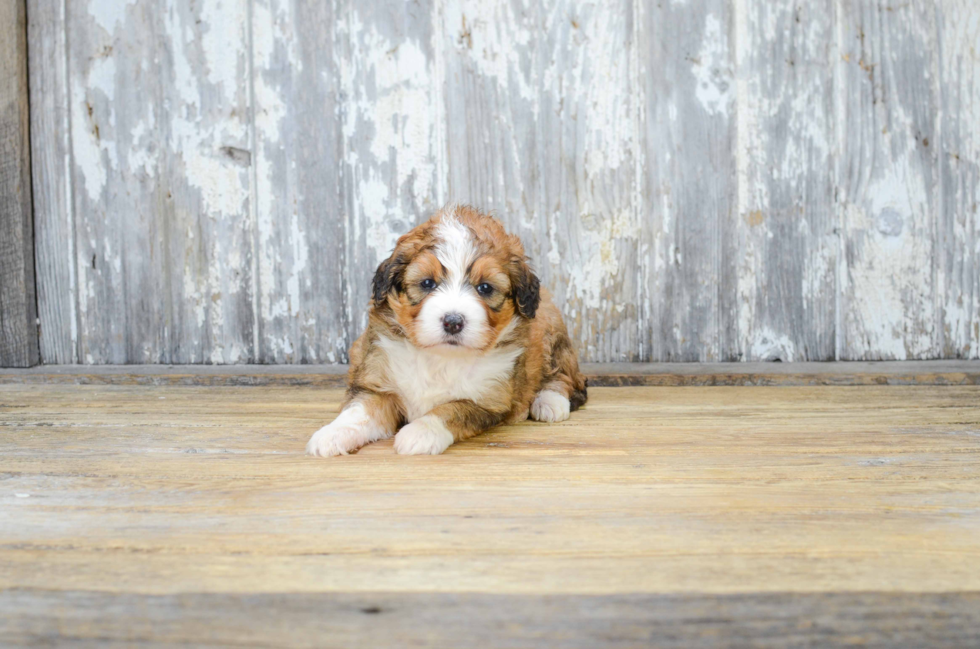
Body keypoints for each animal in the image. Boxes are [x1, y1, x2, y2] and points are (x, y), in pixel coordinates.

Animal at [306, 202, 584, 456]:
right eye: (427, 283)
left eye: (485, 288)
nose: (453, 321)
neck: (440, 357)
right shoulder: (377, 384)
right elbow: (360, 410)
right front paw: (332, 433)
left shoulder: (488, 401)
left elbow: (452, 409)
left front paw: (421, 432)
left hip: (551, 332)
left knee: (564, 375)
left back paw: (550, 402)